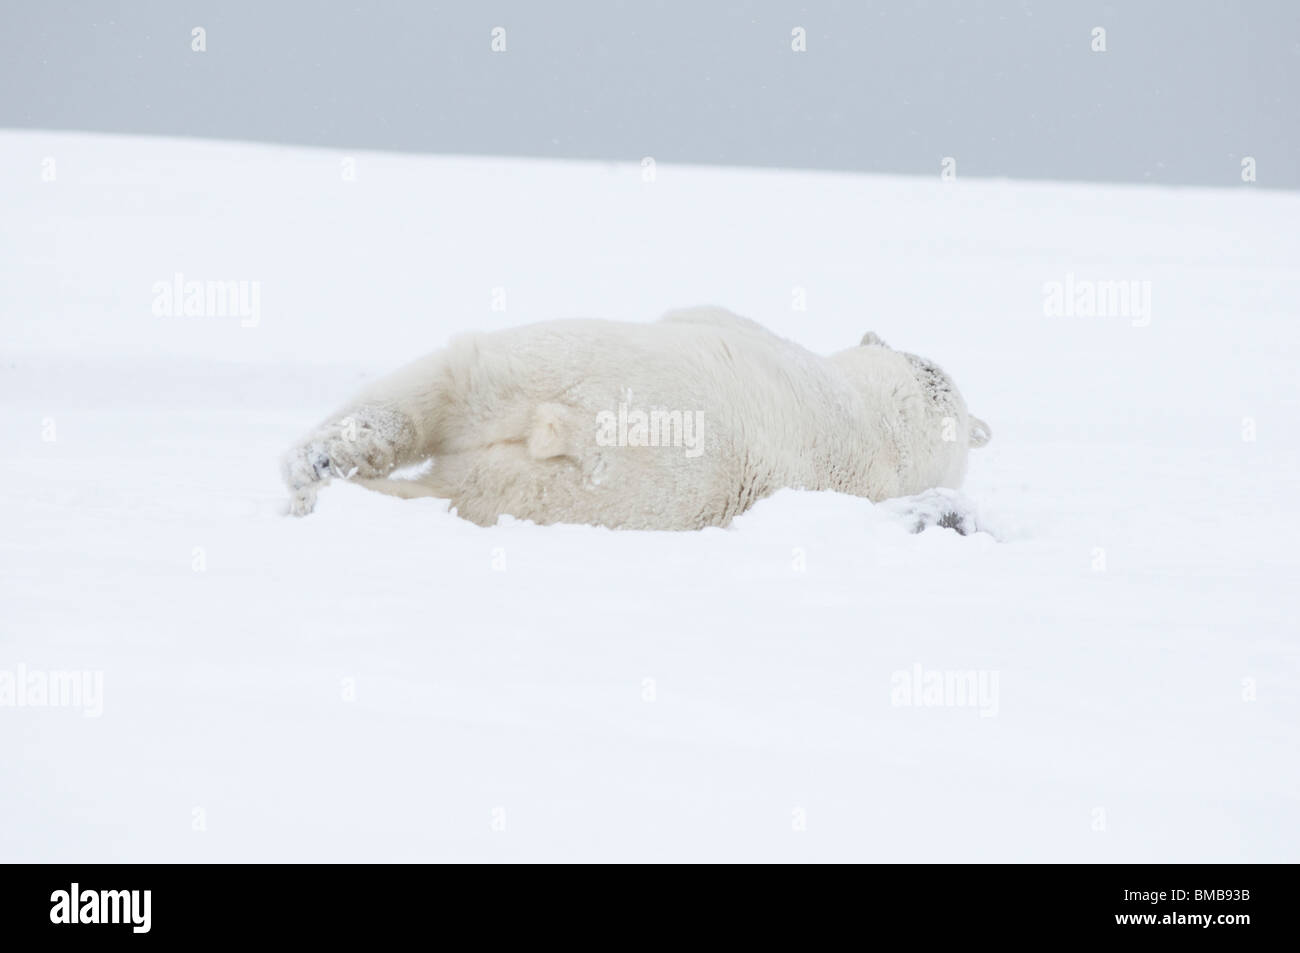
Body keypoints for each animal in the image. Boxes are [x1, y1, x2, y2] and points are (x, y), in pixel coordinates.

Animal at [284, 306, 987, 527]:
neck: (885, 421)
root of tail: (574, 427)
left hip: (541, 393)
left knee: (432, 402)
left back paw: (312, 474)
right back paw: (323, 469)